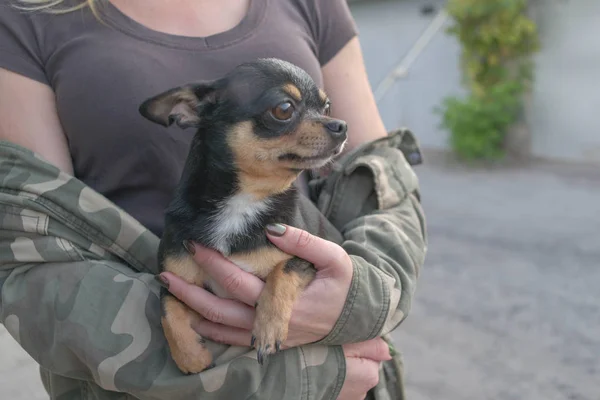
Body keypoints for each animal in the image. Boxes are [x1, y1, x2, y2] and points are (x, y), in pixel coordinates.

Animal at [139, 57, 346, 374]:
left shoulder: (307, 260)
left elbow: (281, 272)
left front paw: (269, 328)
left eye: (327, 107)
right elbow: (168, 313)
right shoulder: (173, 281)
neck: (244, 201)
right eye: (283, 109)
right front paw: (192, 357)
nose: (341, 125)